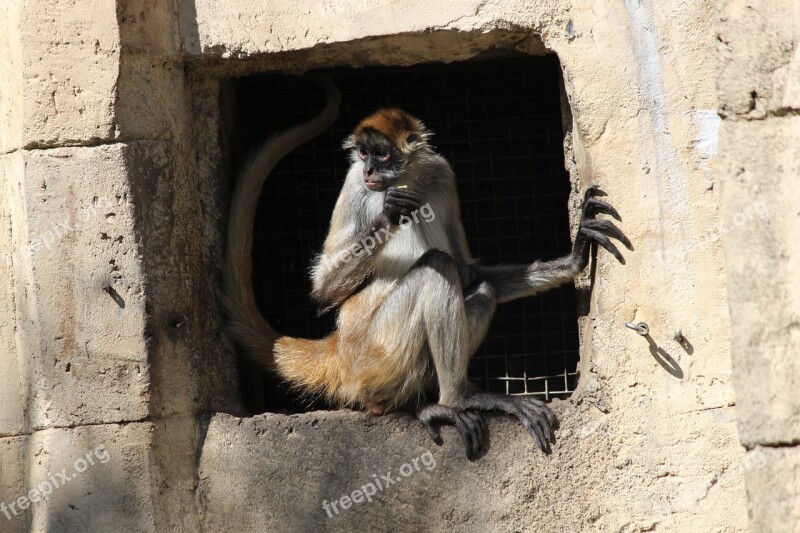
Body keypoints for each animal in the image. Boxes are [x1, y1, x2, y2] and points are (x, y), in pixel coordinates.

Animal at [220, 77, 632, 460]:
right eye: (363, 153)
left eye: (381, 153)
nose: (369, 168)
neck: (407, 179)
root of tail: (341, 348)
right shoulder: (355, 182)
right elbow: (323, 290)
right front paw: (390, 212)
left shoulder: (440, 172)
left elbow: (469, 272)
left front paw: (576, 256)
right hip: (377, 352)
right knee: (437, 264)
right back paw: (454, 402)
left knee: (480, 287)